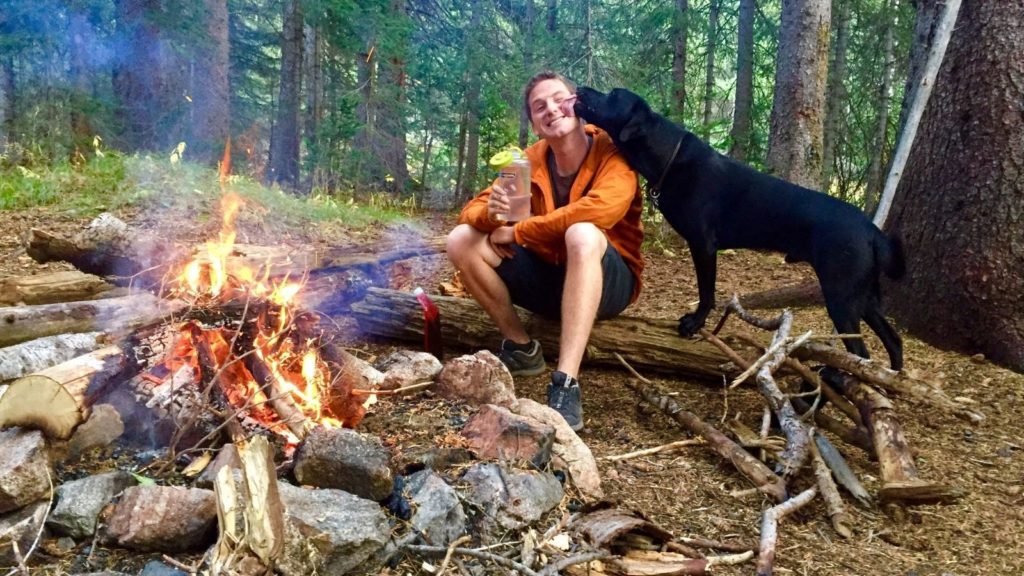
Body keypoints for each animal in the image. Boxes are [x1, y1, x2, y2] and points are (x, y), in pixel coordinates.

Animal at [577, 88, 905, 368]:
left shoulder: (703, 244)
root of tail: (873, 231)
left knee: (860, 352)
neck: (667, 156)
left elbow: (706, 291)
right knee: (894, 341)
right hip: (864, 295)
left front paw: (695, 323)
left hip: (840, 294)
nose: (580, 89)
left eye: (613, 95)